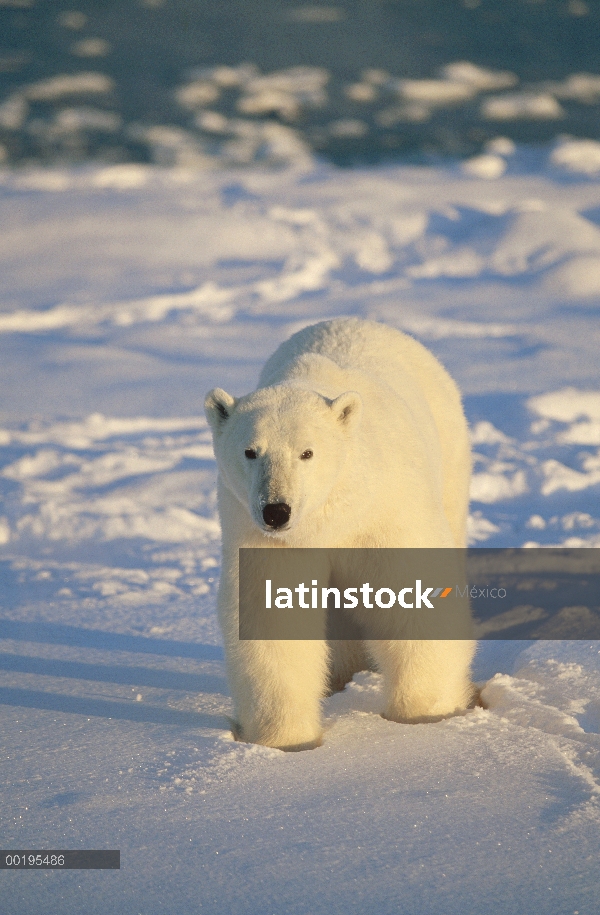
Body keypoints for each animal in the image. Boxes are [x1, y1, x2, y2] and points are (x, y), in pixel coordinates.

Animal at [204, 318, 476, 748]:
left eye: (306, 452)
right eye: (250, 451)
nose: (276, 510)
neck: (330, 515)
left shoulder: (385, 510)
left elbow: (415, 595)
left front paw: (422, 716)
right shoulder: (262, 535)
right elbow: (274, 616)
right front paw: (288, 740)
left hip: (451, 459)